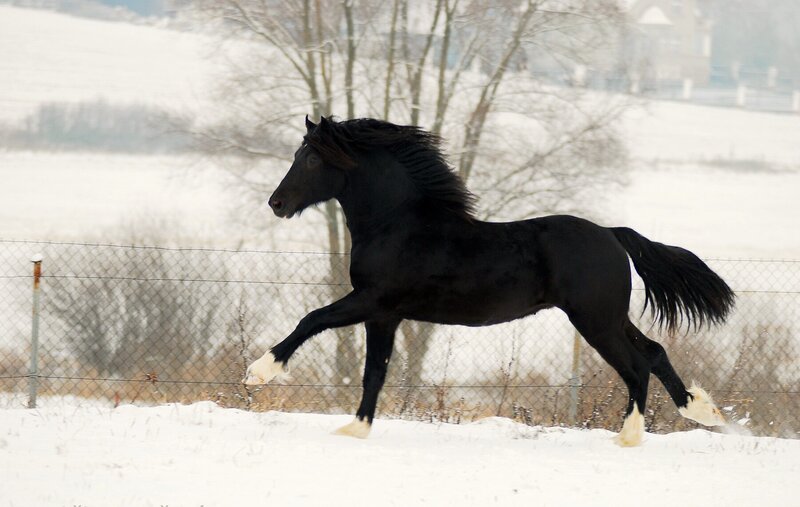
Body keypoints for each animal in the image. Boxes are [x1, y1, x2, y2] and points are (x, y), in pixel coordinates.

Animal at [244, 115, 735, 446]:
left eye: (310, 158)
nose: (276, 203)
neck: (398, 224)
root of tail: (613, 236)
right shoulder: (385, 316)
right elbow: (374, 373)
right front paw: (355, 429)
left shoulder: (372, 301)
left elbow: (312, 319)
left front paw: (258, 374)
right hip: (609, 317)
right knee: (654, 352)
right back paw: (703, 411)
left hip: (594, 320)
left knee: (635, 366)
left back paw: (629, 437)